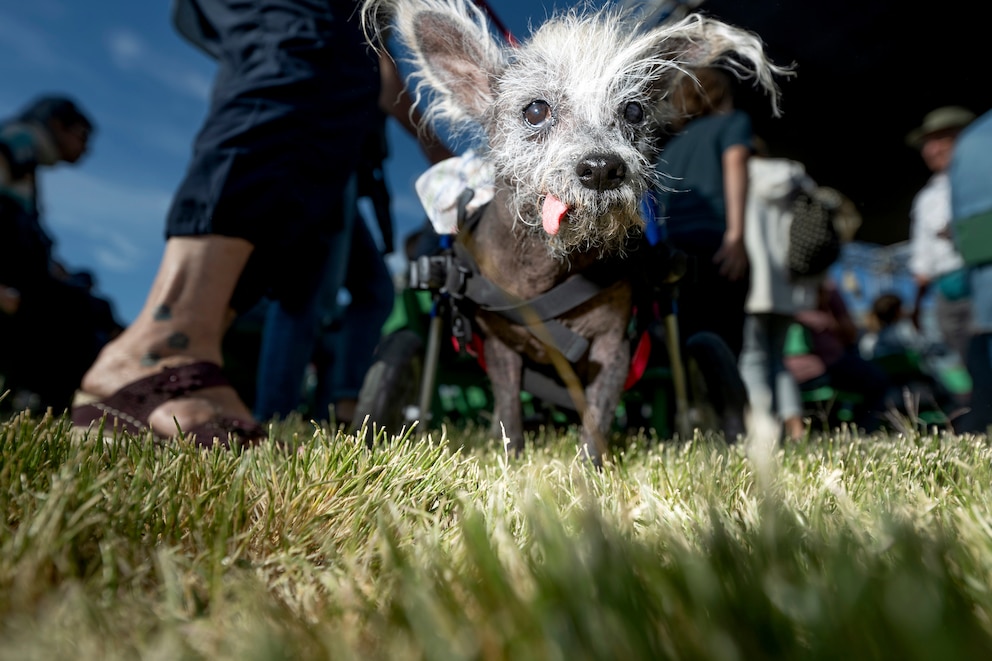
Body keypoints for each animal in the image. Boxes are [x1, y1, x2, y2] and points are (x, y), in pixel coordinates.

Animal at [364, 0, 792, 464]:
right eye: (535, 110)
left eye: (633, 112)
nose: (603, 167)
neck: (551, 266)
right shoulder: (500, 348)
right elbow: (508, 410)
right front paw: (512, 460)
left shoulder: (614, 350)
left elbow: (598, 417)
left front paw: (587, 469)